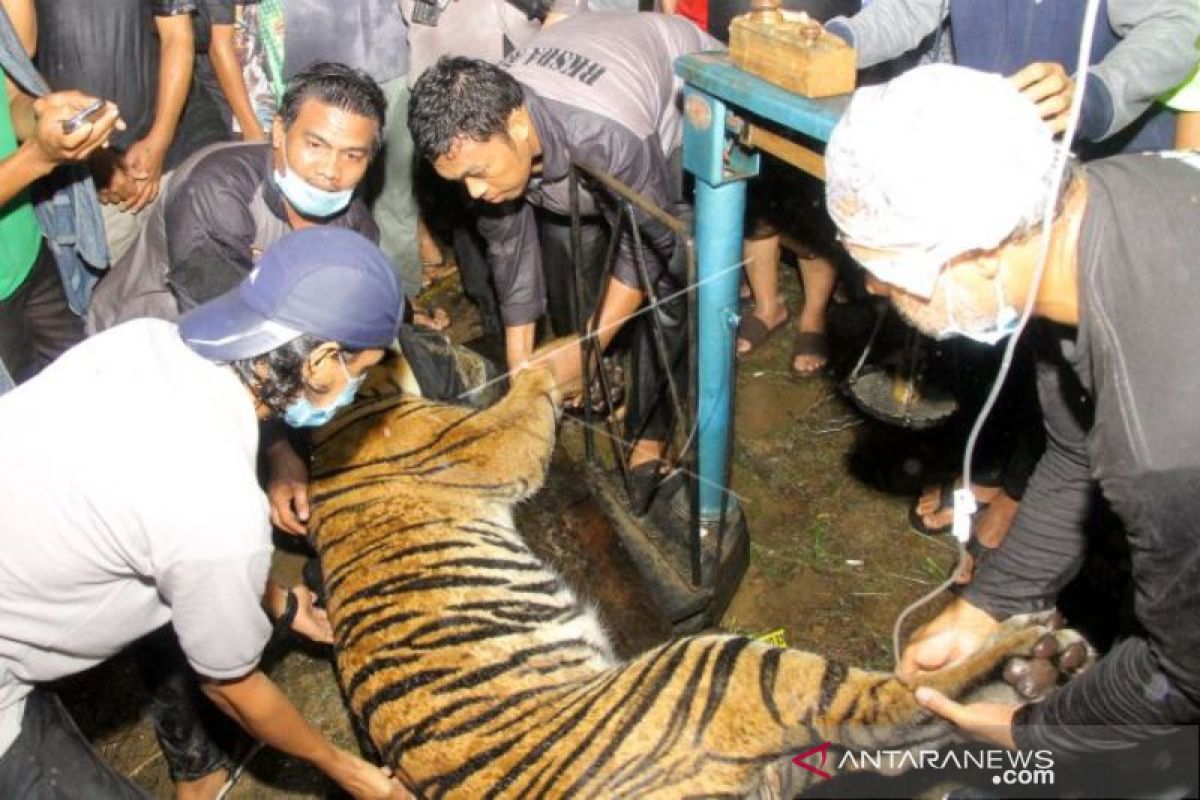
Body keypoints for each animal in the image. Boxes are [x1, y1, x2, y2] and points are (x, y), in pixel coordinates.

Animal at [307, 367, 1089, 796]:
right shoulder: (489, 446)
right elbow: (520, 406)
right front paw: (545, 363)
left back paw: (1038, 674)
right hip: (715, 667)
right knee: (893, 707)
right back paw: (1028, 649)